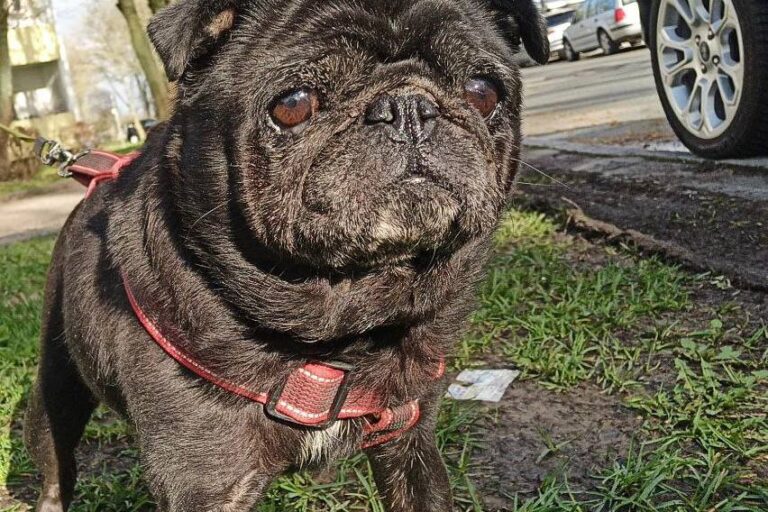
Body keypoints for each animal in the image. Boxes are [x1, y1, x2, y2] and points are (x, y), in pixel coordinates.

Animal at [23, 1, 547, 510]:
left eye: (483, 92)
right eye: (293, 105)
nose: (407, 107)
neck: (340, 323)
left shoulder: (409, 441)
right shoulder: (203, 479)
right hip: (55, 392)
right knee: (55, 466)